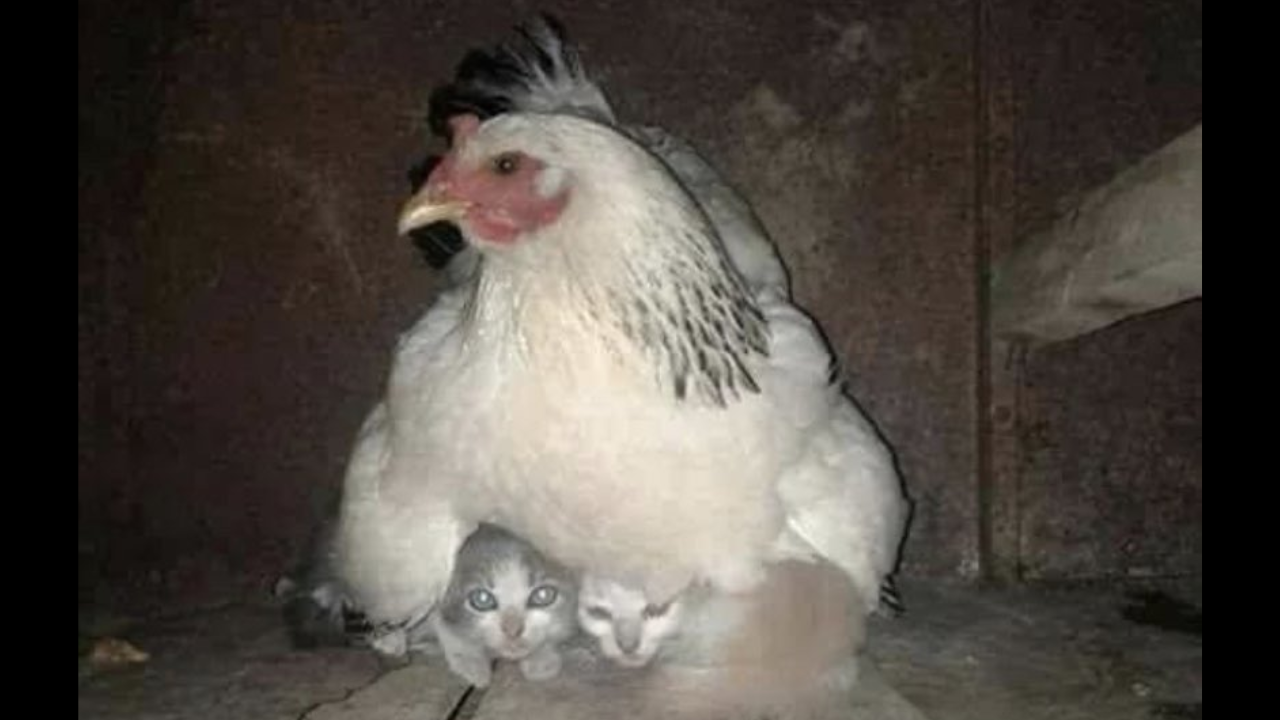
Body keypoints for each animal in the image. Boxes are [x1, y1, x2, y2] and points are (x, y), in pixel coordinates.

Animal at [409, 520, 581, 681]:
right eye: (482, 599)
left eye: (543, 595)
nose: (512, 632)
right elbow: (442, 623)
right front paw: (470, 662)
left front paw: (541, 657)